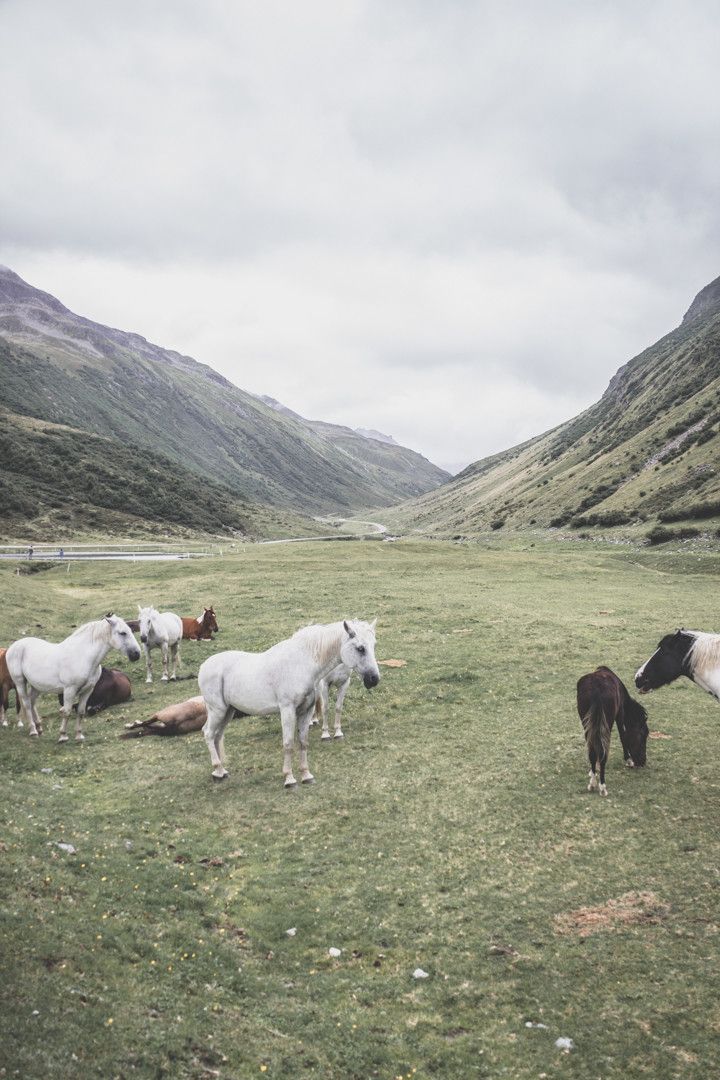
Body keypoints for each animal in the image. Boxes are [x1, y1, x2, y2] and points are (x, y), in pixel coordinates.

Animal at [6, 617, 141, 743]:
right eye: (123, 633)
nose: (136, 654)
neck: (83, 657)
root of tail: (13, 647)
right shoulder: (69, 690)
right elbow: (67, 712)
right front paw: (63, 736)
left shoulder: (88, 690)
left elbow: (81, 711)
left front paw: (79, 735)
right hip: (20, 682)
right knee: (27, 704)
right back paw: (33, 730)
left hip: (37, 686)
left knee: (32, 701)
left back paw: (39, 728)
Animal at [195, 622, 377, 790]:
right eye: (360, 648)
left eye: (373, 645)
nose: (374, 679)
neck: (302, 664)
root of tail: (204, 666)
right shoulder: (287, 710)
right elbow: (288, 743)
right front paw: (289, 779)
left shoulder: (306, 711)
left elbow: (303, 742)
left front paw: (306, 775)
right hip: (218, 710)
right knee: (209, 733)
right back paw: (218, 769)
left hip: (228, 712)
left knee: (217, 736)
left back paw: (220, 772)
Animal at [578, 660, 651, 799]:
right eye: (643, 735)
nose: (642, 762)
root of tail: (596, 689)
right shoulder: (620, 714)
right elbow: (623, 736)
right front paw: (628, 760)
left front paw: (593, 770)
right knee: (603, 751)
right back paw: (602, 787)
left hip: (587, 723)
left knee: (592, 750)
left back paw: (592, 783)